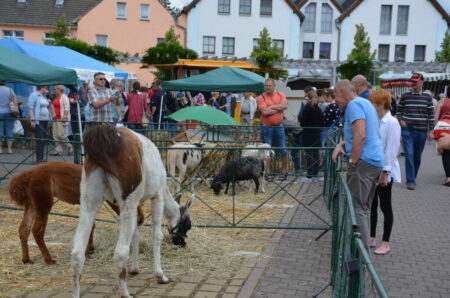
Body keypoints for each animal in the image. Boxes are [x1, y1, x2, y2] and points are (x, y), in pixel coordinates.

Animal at [8, 162, 144, 264]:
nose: (141, 219)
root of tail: (30, 173)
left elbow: (91, 225)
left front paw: (90, 249)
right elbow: (90, 225)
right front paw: (87, 251)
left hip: (31, 203)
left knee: (23, 229)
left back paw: (26, 259)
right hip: (43, 199)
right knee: (37, 230)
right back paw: (49, 259)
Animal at [71, 125, 194, 298]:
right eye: (187, 224)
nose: (182, 243)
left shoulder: (134, 206)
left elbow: (136, 235)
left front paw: (135, 269)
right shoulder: (157, 195)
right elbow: (157, 236)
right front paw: (160, 275)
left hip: (90, 199)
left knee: (77, 253)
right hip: (127, 200)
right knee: (120, 252)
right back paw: (125, 293)